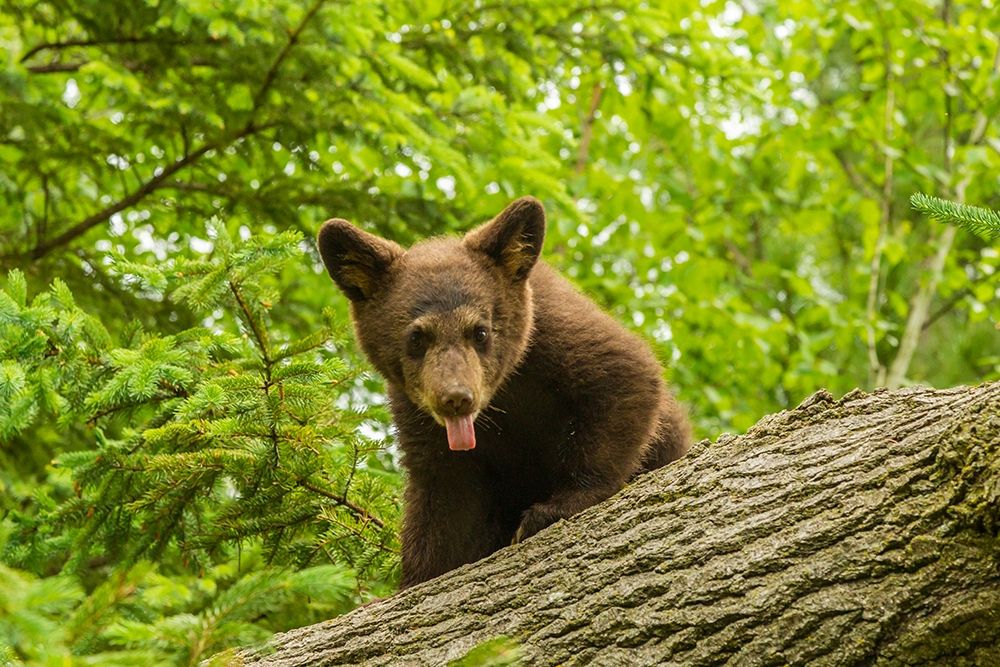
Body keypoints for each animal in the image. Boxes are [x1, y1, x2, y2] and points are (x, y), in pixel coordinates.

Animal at [317, 196, 691, 588]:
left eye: (480, 331)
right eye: (417, 337)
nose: (456, 398)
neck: (504, 397)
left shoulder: (554, 331)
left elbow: (624, 375)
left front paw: (552, 509)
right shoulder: (418, 418)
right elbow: (445, 497)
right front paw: (418, 576)